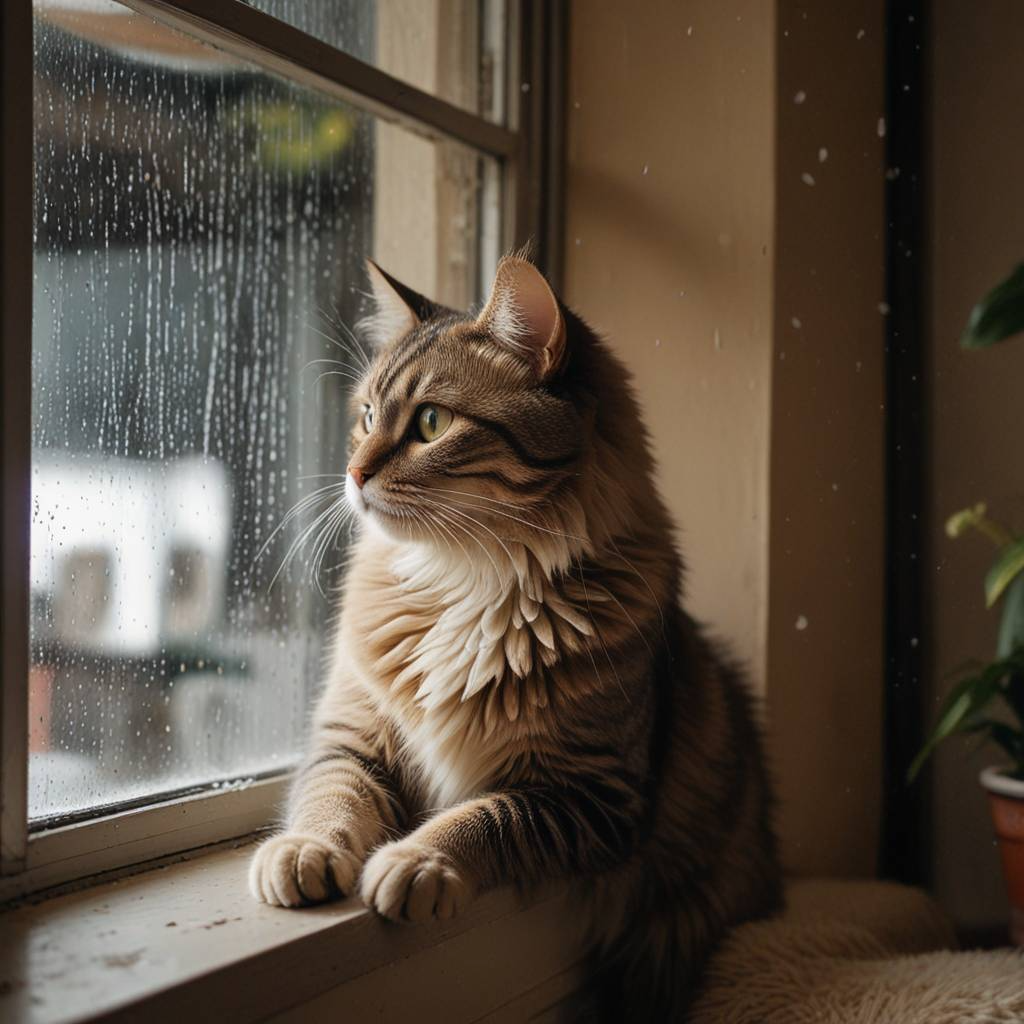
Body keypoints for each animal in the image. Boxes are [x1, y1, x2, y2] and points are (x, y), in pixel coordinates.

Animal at [251, 253, 778, 1015]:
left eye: (432, 423)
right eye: (368, 417)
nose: (352, 474)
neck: (464, 585)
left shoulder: (590, 795)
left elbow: (480, 820)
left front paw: (416, 860)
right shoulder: (352, 736)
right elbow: (331, 797)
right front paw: (303, 852)